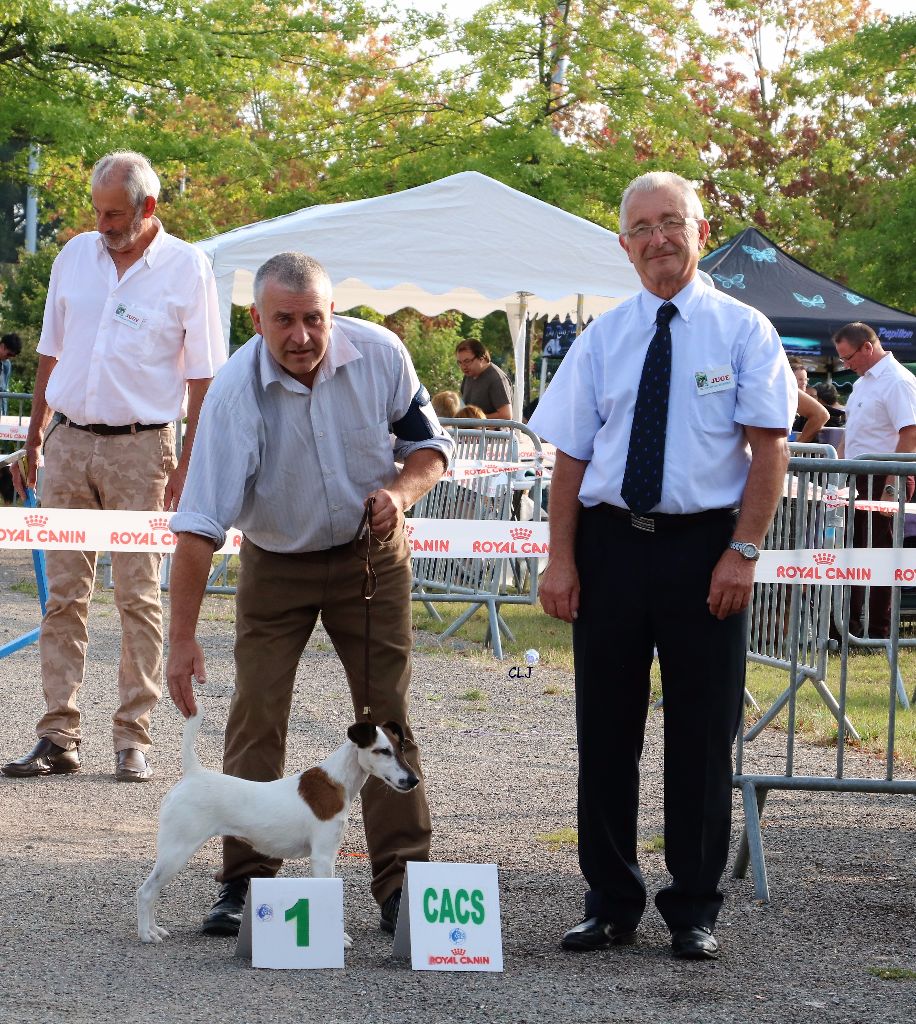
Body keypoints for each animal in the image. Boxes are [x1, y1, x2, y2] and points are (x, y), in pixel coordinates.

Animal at [136, 712, 419, 942]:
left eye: (401, 747)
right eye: (383, 751)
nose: (413, 780)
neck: (336, 781)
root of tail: (193, 774)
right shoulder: (322, 857)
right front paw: (338, 938)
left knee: (153, 892)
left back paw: (154, 929)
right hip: (177, 852)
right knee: (146, 892)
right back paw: (146, 935)